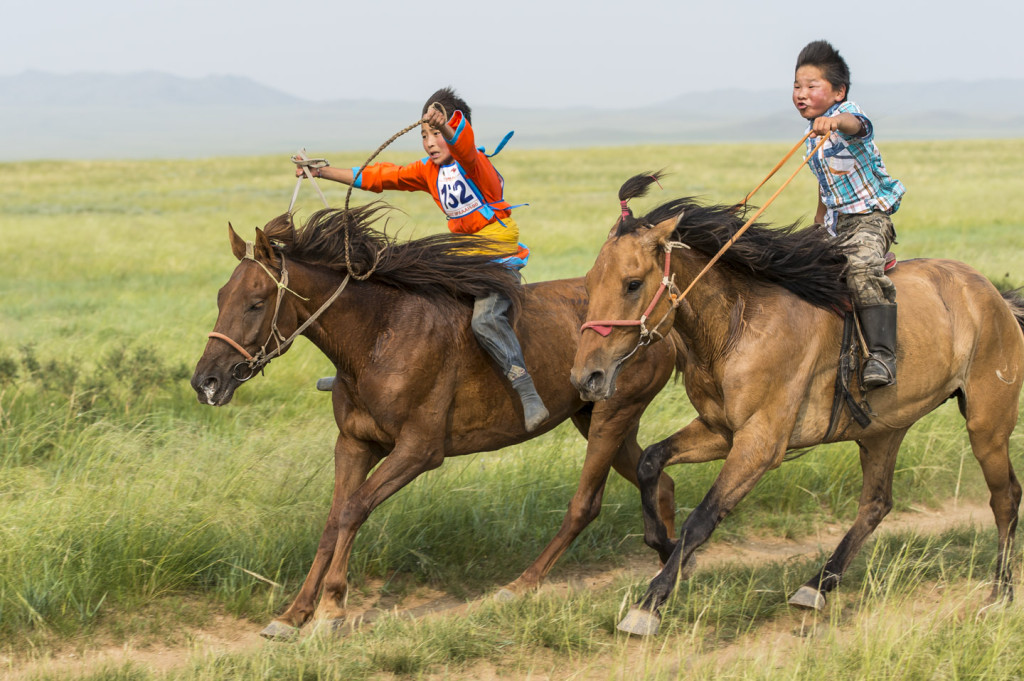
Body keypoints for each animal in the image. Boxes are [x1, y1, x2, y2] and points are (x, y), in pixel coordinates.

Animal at [192, 204, 688, 639]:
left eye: (256, 303)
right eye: (220, 296)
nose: (206, 381)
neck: (378, 336)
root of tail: (664, 323)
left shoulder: (419, 450)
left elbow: (354, 509)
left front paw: (331, 609)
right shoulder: (353, 443)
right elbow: (334, 520)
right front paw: (293, 614)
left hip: (612, 414)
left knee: (585, 504)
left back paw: (521, 586)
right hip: (596, 416)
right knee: (660, 480)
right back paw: (670, 558)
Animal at [569, 174, 1024, 630]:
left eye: (632, 283)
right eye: (589, 283)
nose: (585, 377)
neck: (739, 323)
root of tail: (995, 297)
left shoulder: (761, 443)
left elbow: (702, 518)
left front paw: (649, 603)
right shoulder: (720, 429)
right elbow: (651, 462)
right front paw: (661, 545)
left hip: (987, 422)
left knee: (1005, 496)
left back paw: (1000, 593)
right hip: (885, 428)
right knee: (876, 504)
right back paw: (816, 585)